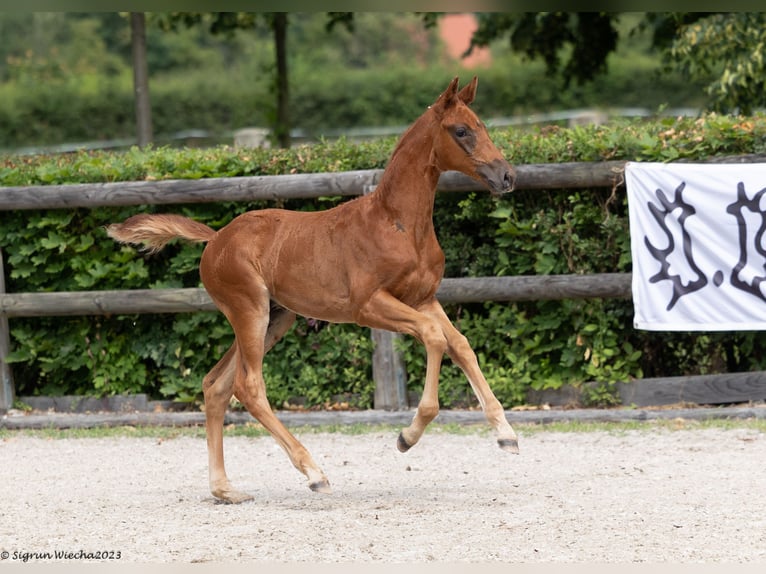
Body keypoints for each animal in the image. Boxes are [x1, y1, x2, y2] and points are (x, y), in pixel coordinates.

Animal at [108, 77, 520, 504]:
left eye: (482, 126)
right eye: (461, 131)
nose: (507, 176)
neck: (398, 223)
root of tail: (216, 238)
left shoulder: (423, 299)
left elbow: (460, 344)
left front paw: (506, 434)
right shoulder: (369, 306)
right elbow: (434, 336)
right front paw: (408, 436)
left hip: (276, 318)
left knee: (215, 385)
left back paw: (225, 489)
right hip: (250, 310)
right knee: (248, 386)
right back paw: (314, 472)